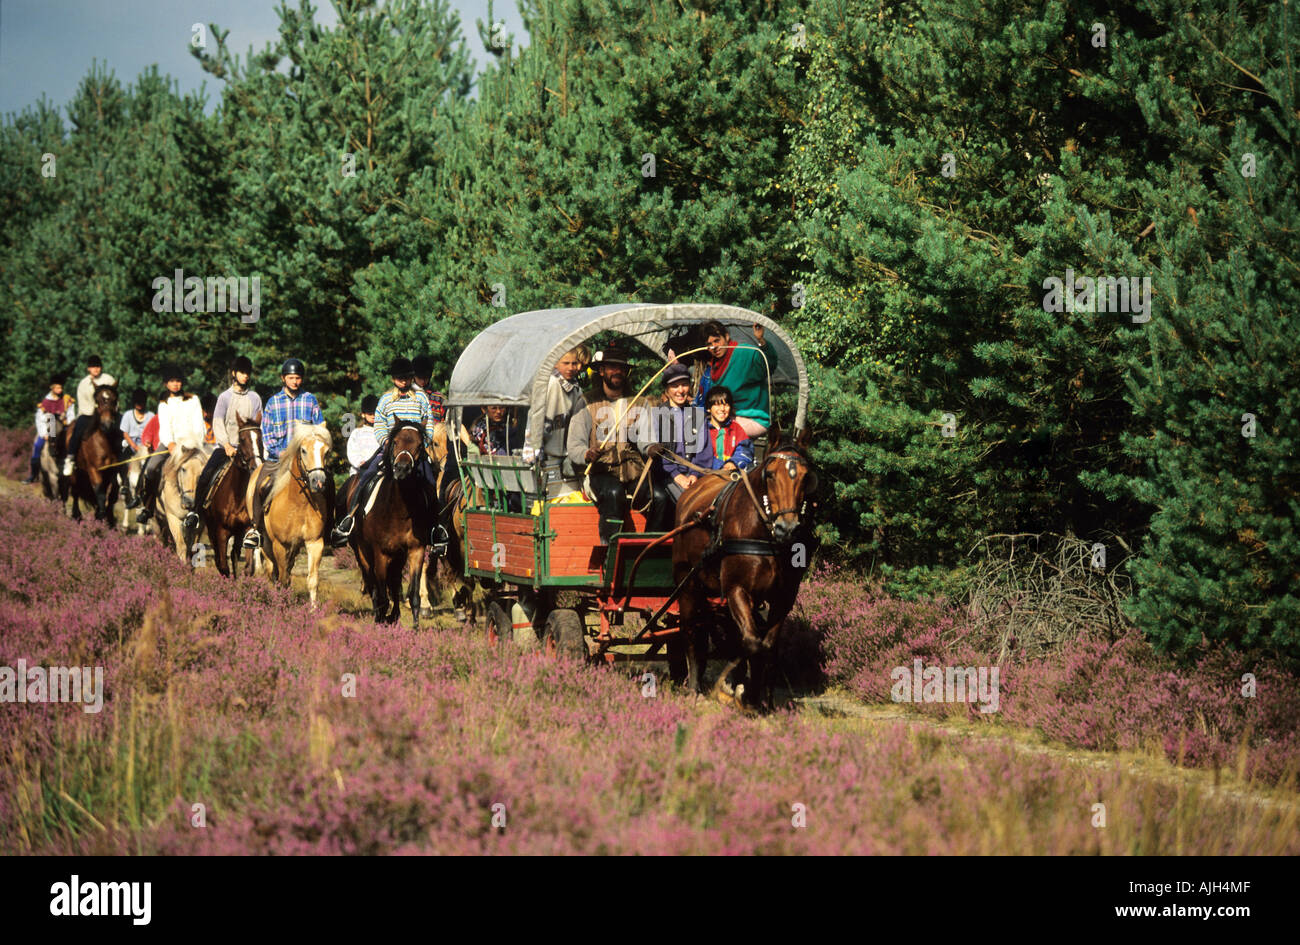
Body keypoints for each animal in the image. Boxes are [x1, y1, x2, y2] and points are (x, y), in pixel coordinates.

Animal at [59, 382, 120, 525]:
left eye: (114, 400)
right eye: (97, 401)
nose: (107, 425)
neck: (104, 442)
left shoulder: (112, 470)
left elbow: (112, 495)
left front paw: (110, 520)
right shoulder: (94, 470)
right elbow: (100, 494)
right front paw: (101, 518)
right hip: (75, 473)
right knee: (75, 491)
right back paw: (77, 516)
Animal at [198, 418, 262, 577]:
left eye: (260, 438)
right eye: (242, 439)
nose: (255, 466)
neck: (236, 496)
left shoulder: (246, 530)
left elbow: (247, 568)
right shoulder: (221, 532)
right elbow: (223, 566)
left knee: (234, 556)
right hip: (211, 529)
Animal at [244, 423, 335, 605]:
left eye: (326, 451)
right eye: (303, 450)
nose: (319, 482)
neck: (299, 504)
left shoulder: (314, 543)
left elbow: (312, 580)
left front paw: (313, 609)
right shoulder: (280, 545)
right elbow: (282, 577)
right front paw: (281, 604)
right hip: (266, 541)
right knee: (272, 570)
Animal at [351, 426, 441, 623]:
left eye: (419, 445)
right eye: (395, 442)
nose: (401, 469)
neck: (399, 510)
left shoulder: (416, 550)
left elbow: (413, 595)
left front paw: (414, 626)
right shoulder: (380, 553)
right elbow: (381, 594)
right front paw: (380, 621)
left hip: (397, 556)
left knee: (393, 582)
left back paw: (394, 615)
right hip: (363, 552)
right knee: (374, 584)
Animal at [670, 426, 821, 707]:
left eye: (806, 477)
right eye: (770, 474)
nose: (788, 528)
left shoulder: (784, 597)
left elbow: (768, 646)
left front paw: (763, 698)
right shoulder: (736, 589)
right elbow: (752, 642)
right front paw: (748, 694)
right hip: (688, 585)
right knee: (691, 631)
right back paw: (694, 688)